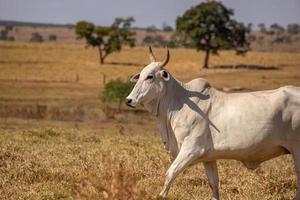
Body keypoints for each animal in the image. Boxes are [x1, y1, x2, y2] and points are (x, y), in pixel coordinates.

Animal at [125, 47, 300, 200]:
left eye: (150, 76)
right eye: (140, 75)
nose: (129, 100)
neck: (179, 102)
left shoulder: (191, 149)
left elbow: (170, 173)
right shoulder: (208, 158)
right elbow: (214, 184)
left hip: (297, 151)